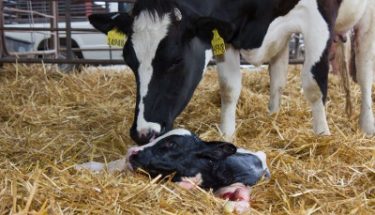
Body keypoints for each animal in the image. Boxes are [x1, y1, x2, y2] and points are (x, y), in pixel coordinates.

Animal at [87, 0, 364, 144]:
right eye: (128, 60)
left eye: (176, 60)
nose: (142, 133)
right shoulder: (227, 31)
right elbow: (229, 88)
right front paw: (228, 134)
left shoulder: (320, 16)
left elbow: (313, 85)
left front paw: (322, 136)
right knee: (278, 78)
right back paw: (273, 117)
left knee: (364, 71)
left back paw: (365, 124)